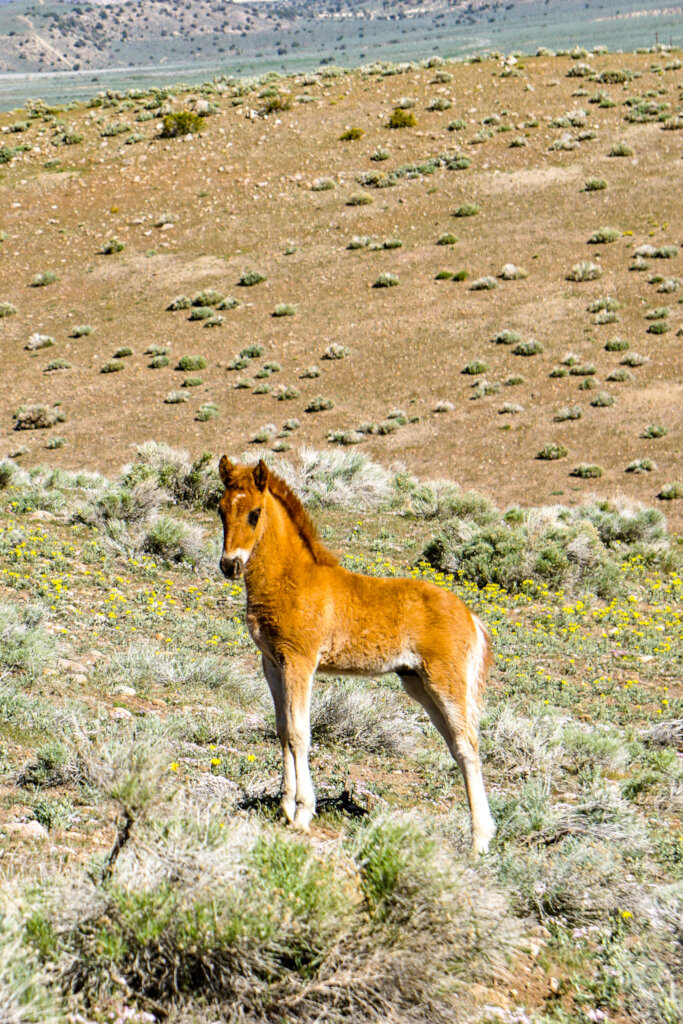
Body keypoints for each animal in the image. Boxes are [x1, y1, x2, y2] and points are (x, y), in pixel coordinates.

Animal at [217, 456, 496, 854]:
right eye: (221, 509)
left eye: (254, 514)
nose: (230, 565)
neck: (292, 579)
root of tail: (471, 617)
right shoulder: (272, 663)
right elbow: (283, 730)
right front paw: (285, 807)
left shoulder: (300, 662)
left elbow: (300, 733)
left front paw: (303, 814)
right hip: (418, 685)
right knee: (458, 748)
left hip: (445, 682)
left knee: (468, 746)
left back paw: (479, 841)